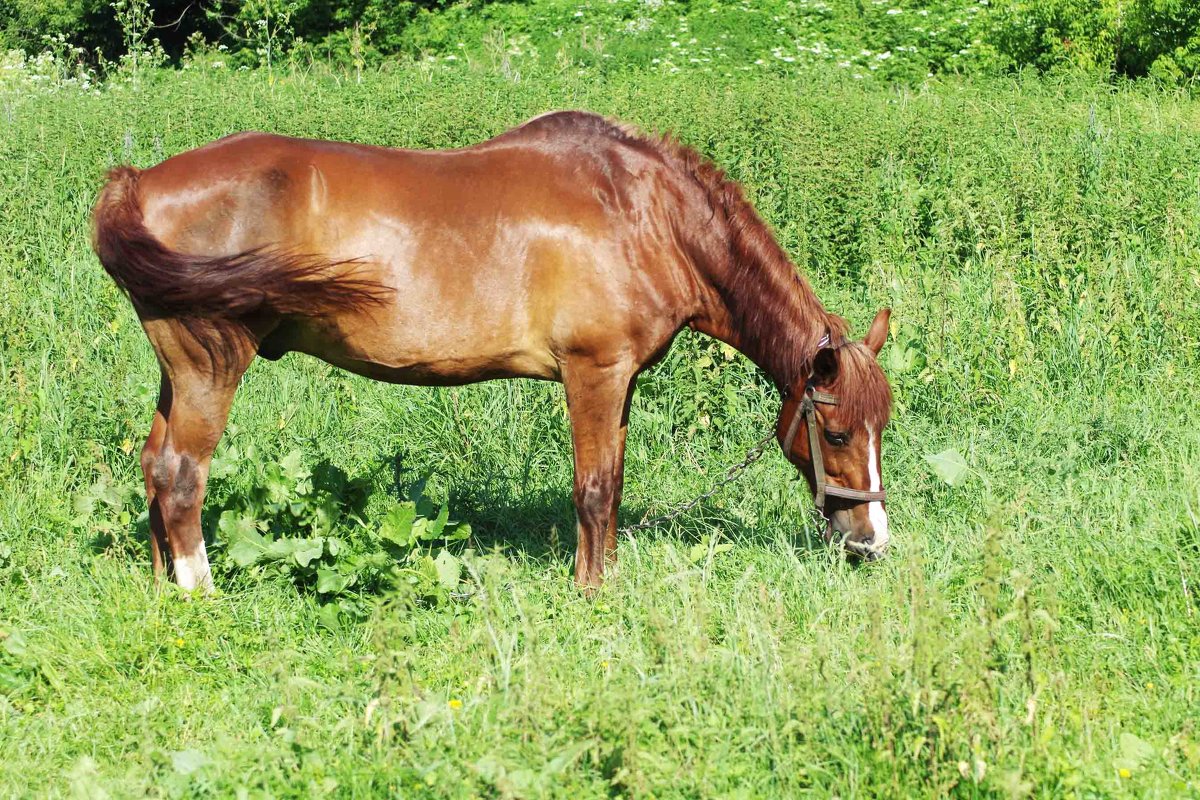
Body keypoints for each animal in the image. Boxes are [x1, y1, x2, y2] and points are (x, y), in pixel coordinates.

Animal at [91, 109, 892, 592]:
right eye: (836, 432)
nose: (872, 541)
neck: (646, 214)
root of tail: (137, 183)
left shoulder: (620, 380)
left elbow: (611, 483)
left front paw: (605, 580)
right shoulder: (592, 372)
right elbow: (593, 488)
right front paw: (590, 594)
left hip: (177, 371)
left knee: (154, 465)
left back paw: (164, 586)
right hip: (211, 368)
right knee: (183, 475)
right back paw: (200, 591)